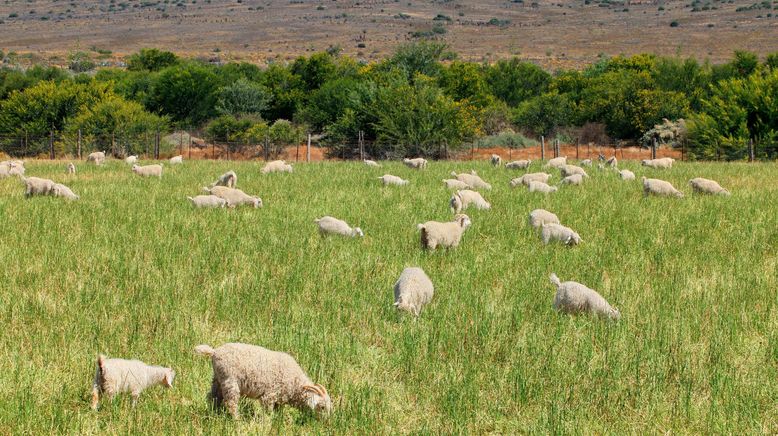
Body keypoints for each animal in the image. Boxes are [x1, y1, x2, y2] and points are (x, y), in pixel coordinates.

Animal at [193, 342, 330, 418]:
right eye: (322, 407)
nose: (325, 424)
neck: (295, 383)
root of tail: (214, 351)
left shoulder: (279, 399)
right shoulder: (269, 395)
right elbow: (268, 412)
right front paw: (269, 422)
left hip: (217, 378)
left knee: (213, 397)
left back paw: (214, 413)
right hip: (230, 380)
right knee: (231, 403)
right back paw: (237, 420)